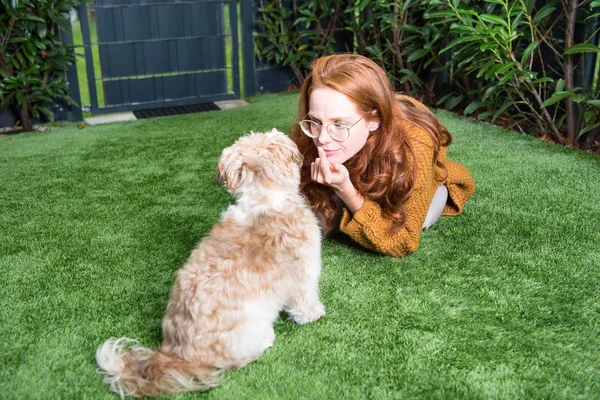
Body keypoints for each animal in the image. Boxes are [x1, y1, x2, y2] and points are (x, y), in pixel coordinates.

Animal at [96, 130, 326, 396]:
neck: (263, 199)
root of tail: (179, 355)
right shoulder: (305, 273)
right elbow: (305, 301)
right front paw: (314, 314)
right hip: (251, 332)